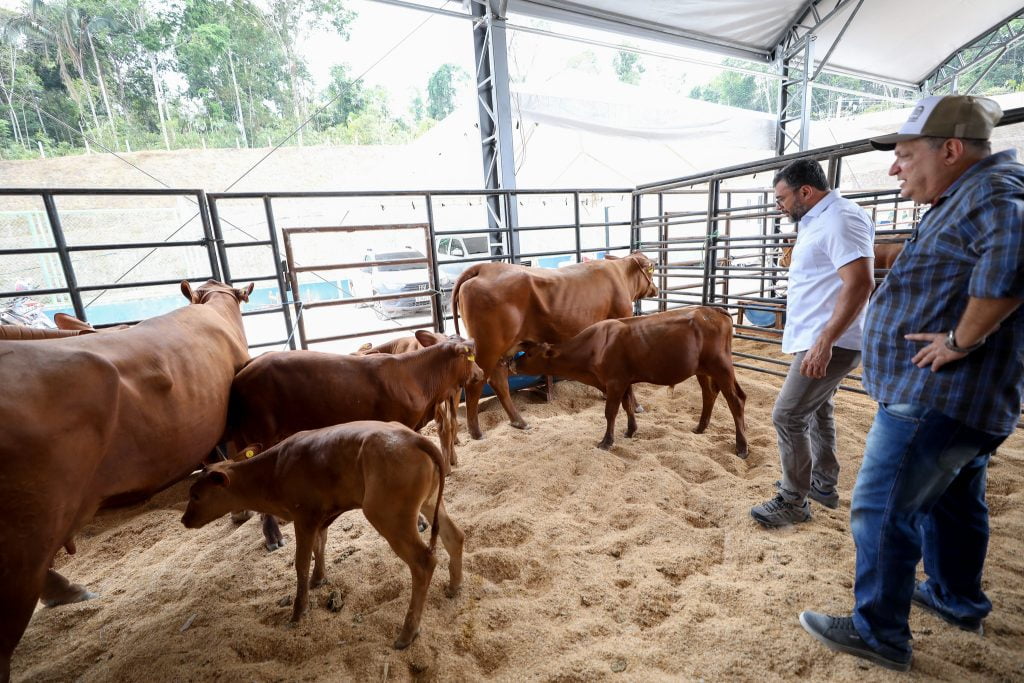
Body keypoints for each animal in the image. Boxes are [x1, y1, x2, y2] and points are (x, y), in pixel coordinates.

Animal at [181, 421, 464, 651]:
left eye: (196, 495)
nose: (184, 520)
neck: (273, 472)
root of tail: (413, 438)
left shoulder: (304, 517)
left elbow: (301, 563)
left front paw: (298, 610)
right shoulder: (321, 517)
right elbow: (321, 546)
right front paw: (319, 579)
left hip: (389, 516)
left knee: (423, 562)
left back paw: (407, 633)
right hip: (429, 501)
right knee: (455, 535)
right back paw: (454, 586)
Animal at [226, 329, 481, 548]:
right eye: (471, 357)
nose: (479, 374)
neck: (415, 376)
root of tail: (246, 369)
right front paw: (417, 521)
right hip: (260, 434)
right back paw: (273, 535)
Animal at [454, 250, 655, 438]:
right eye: (651, 269)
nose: (655, 289)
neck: (620, 274)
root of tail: (484, 268)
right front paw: (636, 405)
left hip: (501, 352)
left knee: (499, 382)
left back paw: (519, 422)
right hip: (488, 349)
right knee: (476, 382)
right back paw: (476, 432)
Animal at [509, 307, 745, 456]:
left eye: (529, 354)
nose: (510, 362)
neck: (596, 346)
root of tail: (713, 311)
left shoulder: (614, 382)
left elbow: (611, 412)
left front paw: (606, 442)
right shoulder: (625, 380)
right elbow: (628, 405)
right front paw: (631, 431)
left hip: (721, 366)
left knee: (736, 400)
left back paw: (741, 447)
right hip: (703, 370)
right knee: (710, 394)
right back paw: (700, 428)